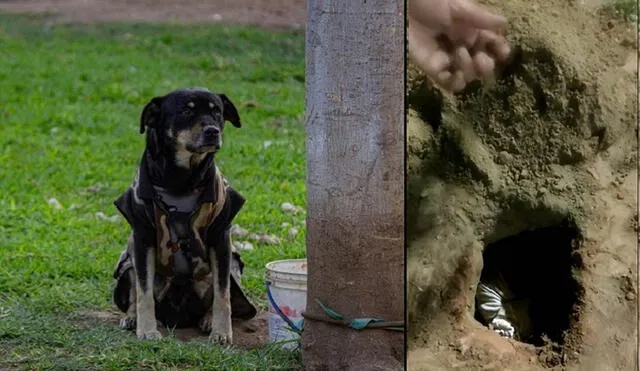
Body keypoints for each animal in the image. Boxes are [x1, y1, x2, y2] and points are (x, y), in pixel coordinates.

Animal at [111, 87, 256, 342]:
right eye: (186, 111)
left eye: (217, 112)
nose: (212, 131)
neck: (181, 180)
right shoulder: (142, 238)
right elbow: (143, 291)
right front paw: (147, 329)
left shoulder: (221, 239)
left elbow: (223, 294)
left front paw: (221, 331)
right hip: (128, 263)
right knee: (135, 289)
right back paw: (132, 316)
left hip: (230, 265)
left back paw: (207, 319)